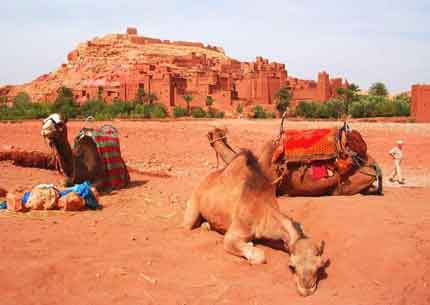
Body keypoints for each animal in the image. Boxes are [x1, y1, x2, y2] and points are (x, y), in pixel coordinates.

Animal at [183, 151, 328, 296]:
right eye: (291, 266)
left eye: (319, 267)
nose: (307, 289)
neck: (261, 209)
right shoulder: (233, 234)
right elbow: (259, 255)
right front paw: (251, 251)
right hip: (194, 203)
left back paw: (207, 225)